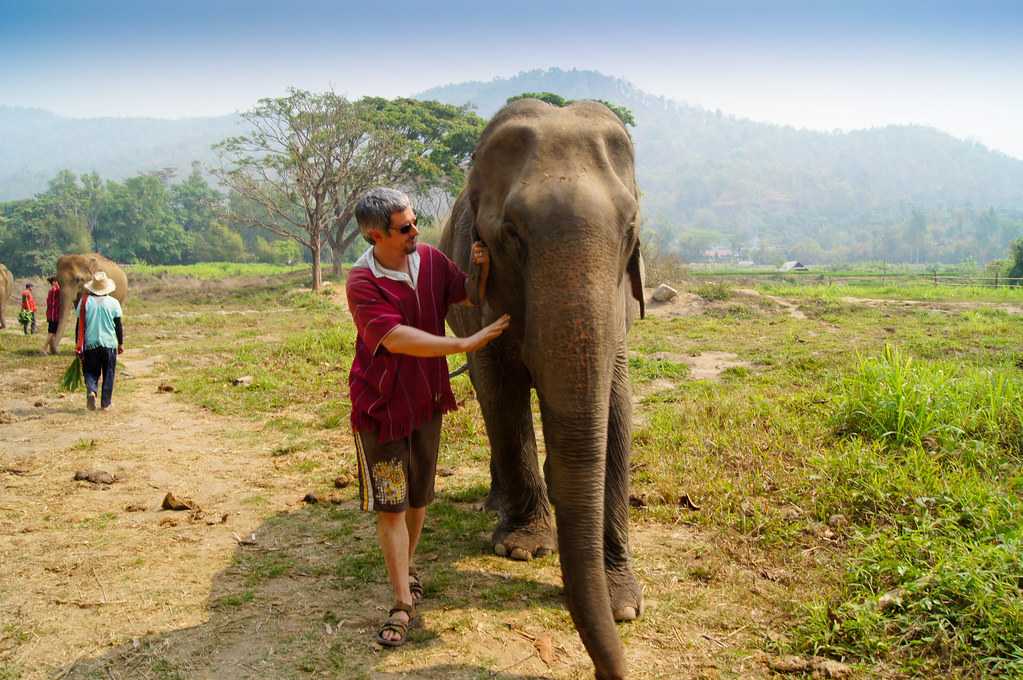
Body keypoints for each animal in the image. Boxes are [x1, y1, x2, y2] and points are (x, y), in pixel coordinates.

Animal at [439, 99, 646, 678]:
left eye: (630, 228)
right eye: (512, 234)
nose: (608, 672)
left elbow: (616, 407)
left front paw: (623, 603)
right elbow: (500, 389)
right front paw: (524, 549)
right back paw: (496, 506)